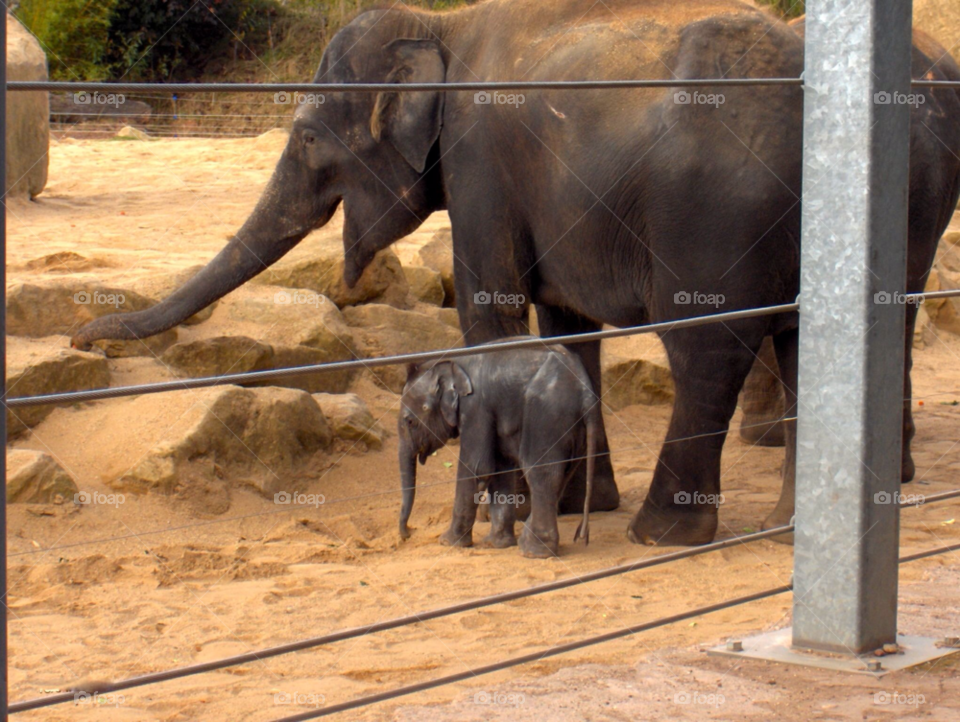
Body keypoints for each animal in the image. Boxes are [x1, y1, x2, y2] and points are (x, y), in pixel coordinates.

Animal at [397, 340, 599, 558]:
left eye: (410, 422)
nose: (407, 534)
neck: (452, 360)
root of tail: (586, 395)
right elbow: (500, 470)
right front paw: (496, 544)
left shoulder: (475, 407)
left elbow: (477, 468)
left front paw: (447, 542)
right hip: (574, 430)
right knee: (561, 474)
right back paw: (527, 542)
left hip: (547, 415)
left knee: (540, 472)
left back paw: (533, 552)